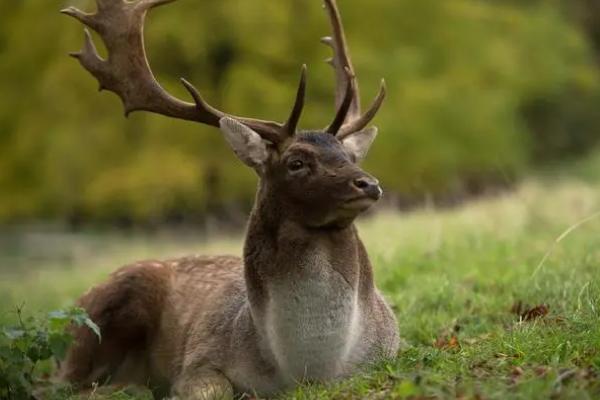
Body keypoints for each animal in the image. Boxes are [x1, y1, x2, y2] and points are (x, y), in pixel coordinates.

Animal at [61, 0, 400, 398]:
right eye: (296, 162)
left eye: (350, 156)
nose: (369, 184)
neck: (308, 368)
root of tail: (75, 302)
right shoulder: (199, 359)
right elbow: (212, 388)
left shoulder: (389, 350)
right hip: (100, 316)